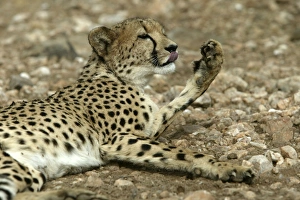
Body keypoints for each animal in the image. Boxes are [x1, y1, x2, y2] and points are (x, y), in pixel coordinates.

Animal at [0, 18, 253, 199]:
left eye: (163, 32)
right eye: (144, 36)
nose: (173, 46)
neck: (117, 75)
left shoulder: (147, 127)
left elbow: (180, 100)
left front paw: (212, 61)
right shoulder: (116, 139)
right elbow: (183, 152)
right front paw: (227, 167)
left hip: (27, 171)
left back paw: (73, 195)